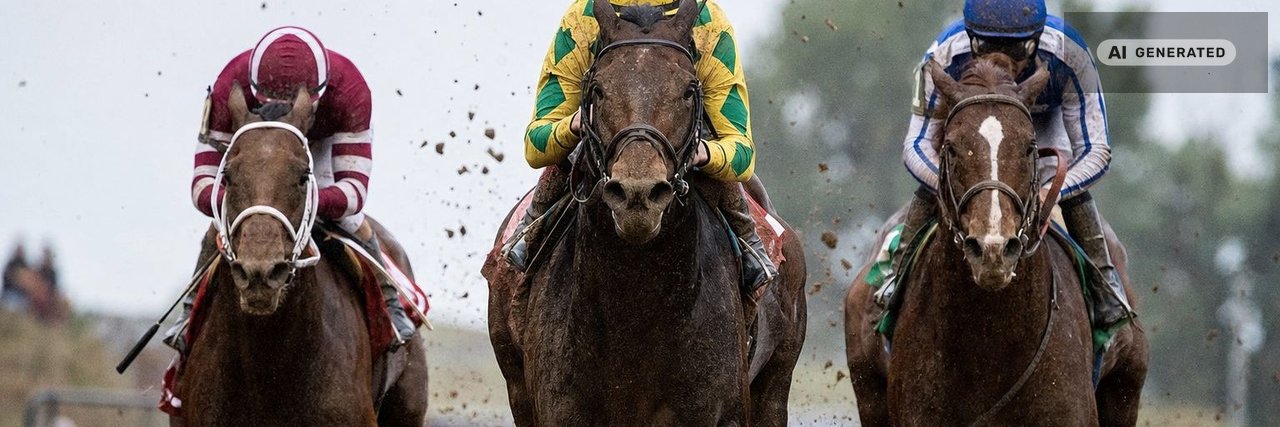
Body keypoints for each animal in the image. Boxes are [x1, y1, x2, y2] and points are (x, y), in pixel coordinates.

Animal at [482, 1, 806, 425]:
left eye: (688, 90)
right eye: (598, 89)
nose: (638, 193)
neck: (636, 302)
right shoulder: (558, 409)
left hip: (775, 383)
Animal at [844, 55, 1148, 426]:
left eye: (1030, 147)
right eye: (951, 147)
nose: (993, 249)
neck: (989, 343)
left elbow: (1096, 149)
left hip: (1125, 388)